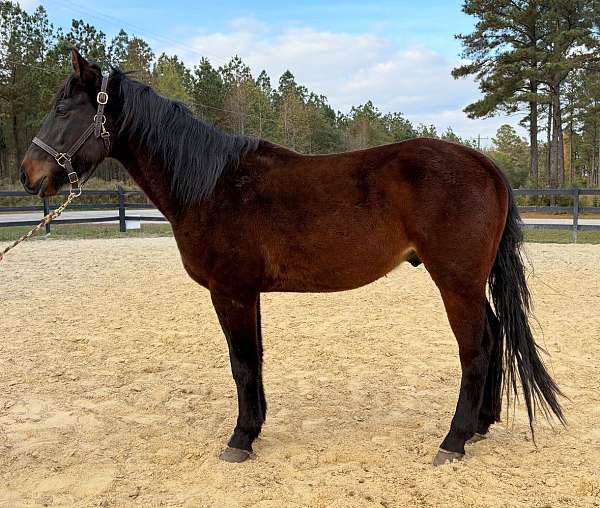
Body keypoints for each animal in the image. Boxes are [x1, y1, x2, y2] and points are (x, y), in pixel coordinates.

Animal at [18, 49, 564, 466]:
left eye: (64, 109)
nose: (28, 174)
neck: (212, 184)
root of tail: (484, 163)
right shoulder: (248, 294)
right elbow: (254, 359)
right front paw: (254, 429)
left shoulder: (231, 292)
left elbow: (241, 363)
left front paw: (239, 440)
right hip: (468, 283)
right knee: (493, 336)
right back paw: (481, 426)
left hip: (456, 282)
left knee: (475, 348)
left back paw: (453, 441)